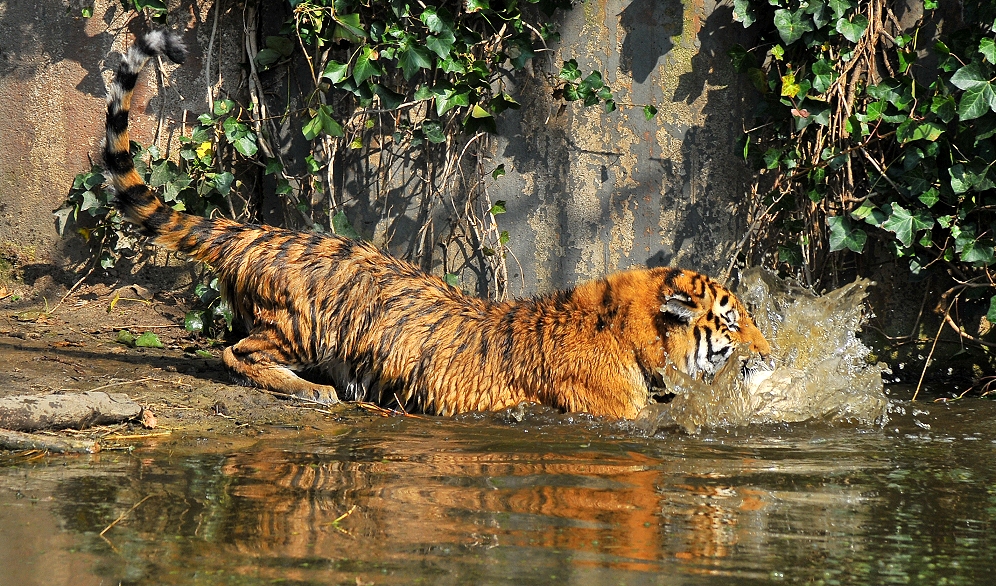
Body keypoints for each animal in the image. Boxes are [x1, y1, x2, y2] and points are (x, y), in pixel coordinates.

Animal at [101, 29, 772, 418]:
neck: (631, 334)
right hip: (303, 324)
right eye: (731, 323)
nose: (771, 357)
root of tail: (261, 229)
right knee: (234, 352)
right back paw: (314, 391)